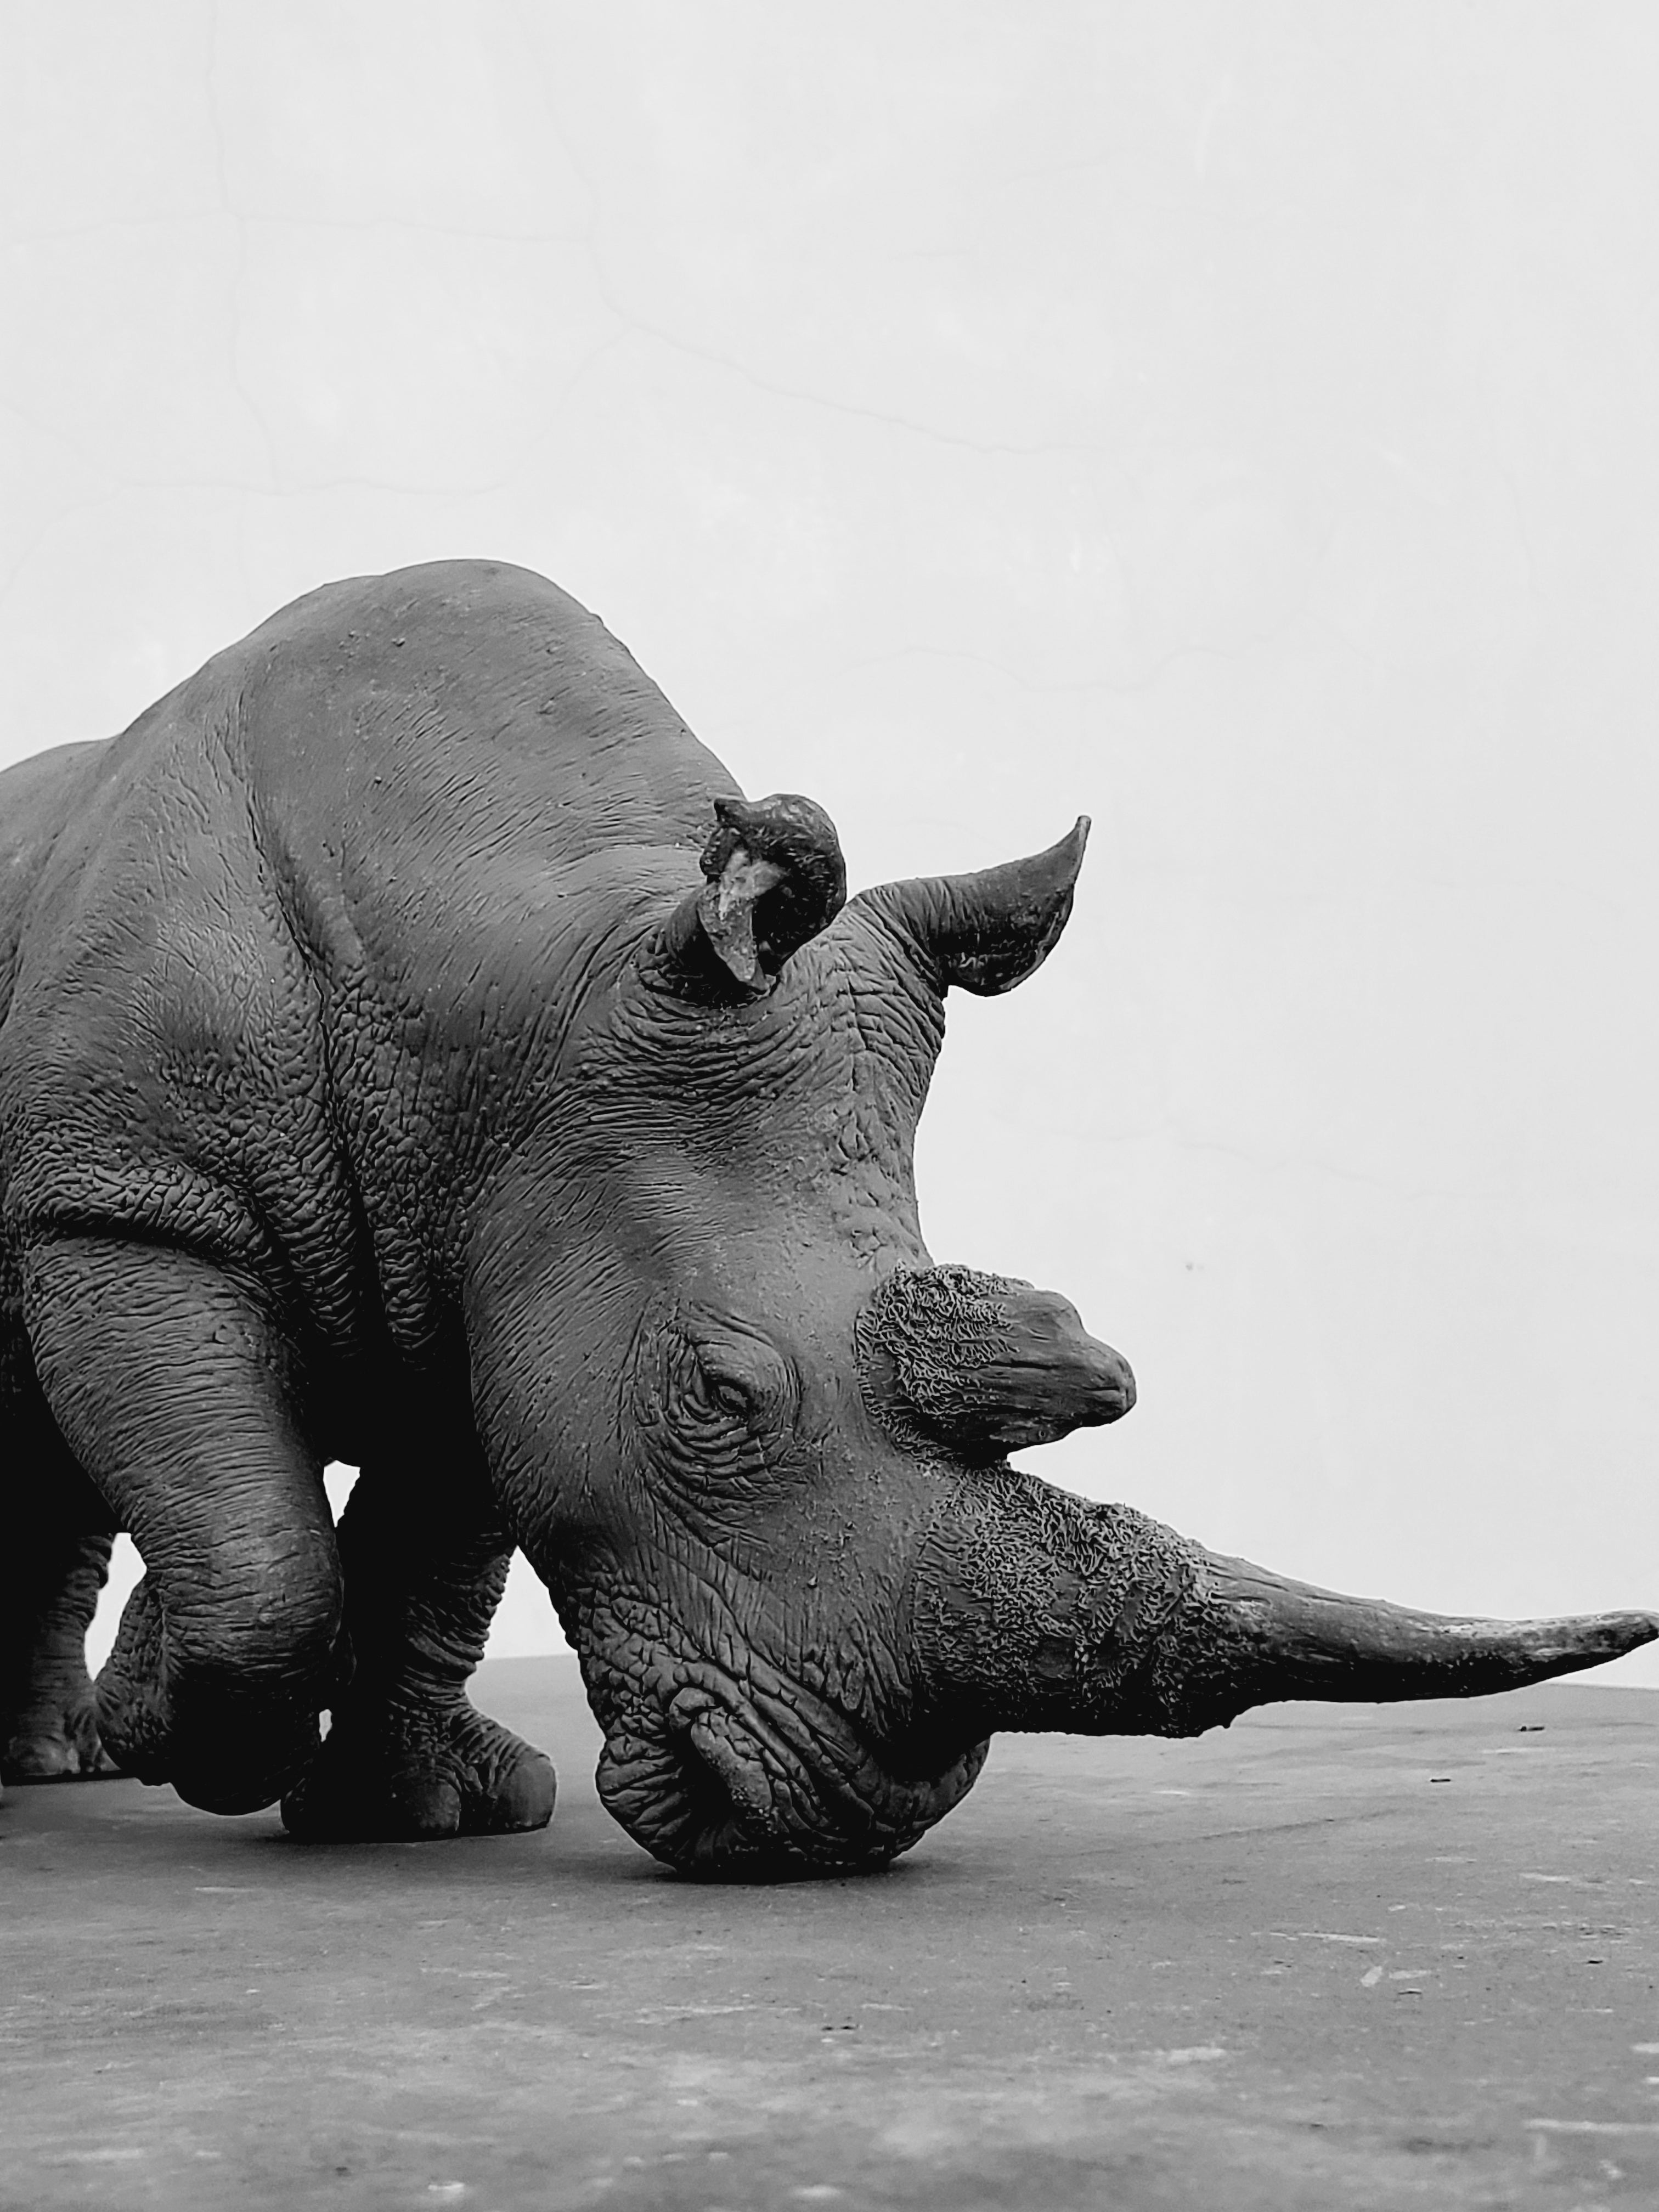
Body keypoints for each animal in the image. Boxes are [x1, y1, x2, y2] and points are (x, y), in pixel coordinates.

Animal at [1, 560, 1650, 1876]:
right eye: (718, 1396)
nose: (837, 1824)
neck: (524, 967)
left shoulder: (495, 1226)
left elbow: (434, 1549)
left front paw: (409, 1817)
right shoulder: (126, 1206)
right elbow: (259, 1544)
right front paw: (206, 1749)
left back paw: (69, 1757)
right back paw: (78, 1763)